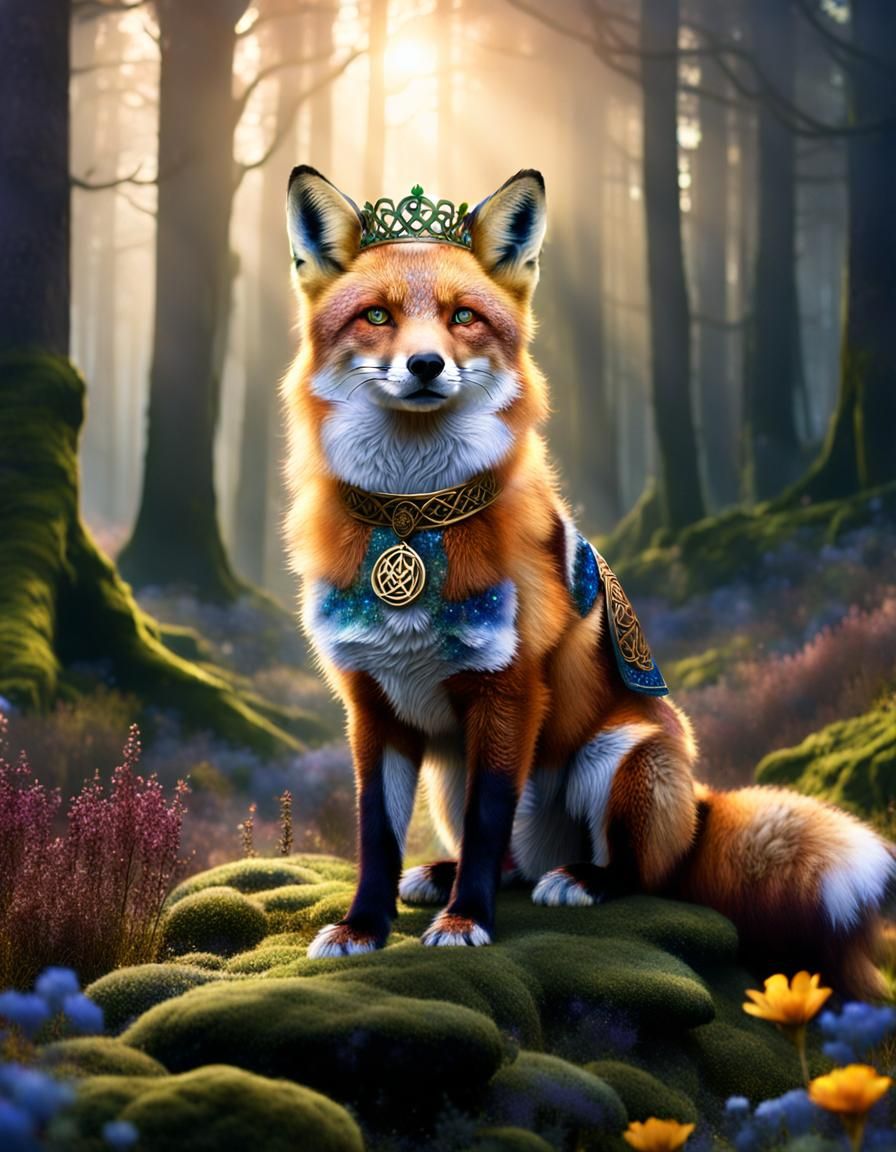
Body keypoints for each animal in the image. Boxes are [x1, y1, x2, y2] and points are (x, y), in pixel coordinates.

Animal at [281, 164, 895, 997]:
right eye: (376, 316)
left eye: (463, 318)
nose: (426, 366)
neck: (413, 518)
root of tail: (699, 804)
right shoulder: (371, 705)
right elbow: (376, 836)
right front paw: (363, 927)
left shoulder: (509, 691)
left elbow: (487, 822)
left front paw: (466, 924)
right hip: (451, 771)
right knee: (507, 856)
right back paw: (446, 875)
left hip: (620, 755)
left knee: (637, 870)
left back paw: (580, 879)